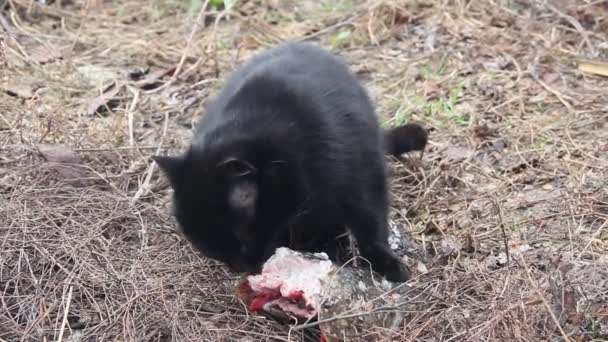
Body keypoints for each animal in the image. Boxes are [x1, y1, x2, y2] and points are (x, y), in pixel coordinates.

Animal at [152, 41, 428, 282]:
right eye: (214, 251)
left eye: (241, 242)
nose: (242, 268)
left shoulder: (363, 174)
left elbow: (371, 223)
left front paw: (386, 264)